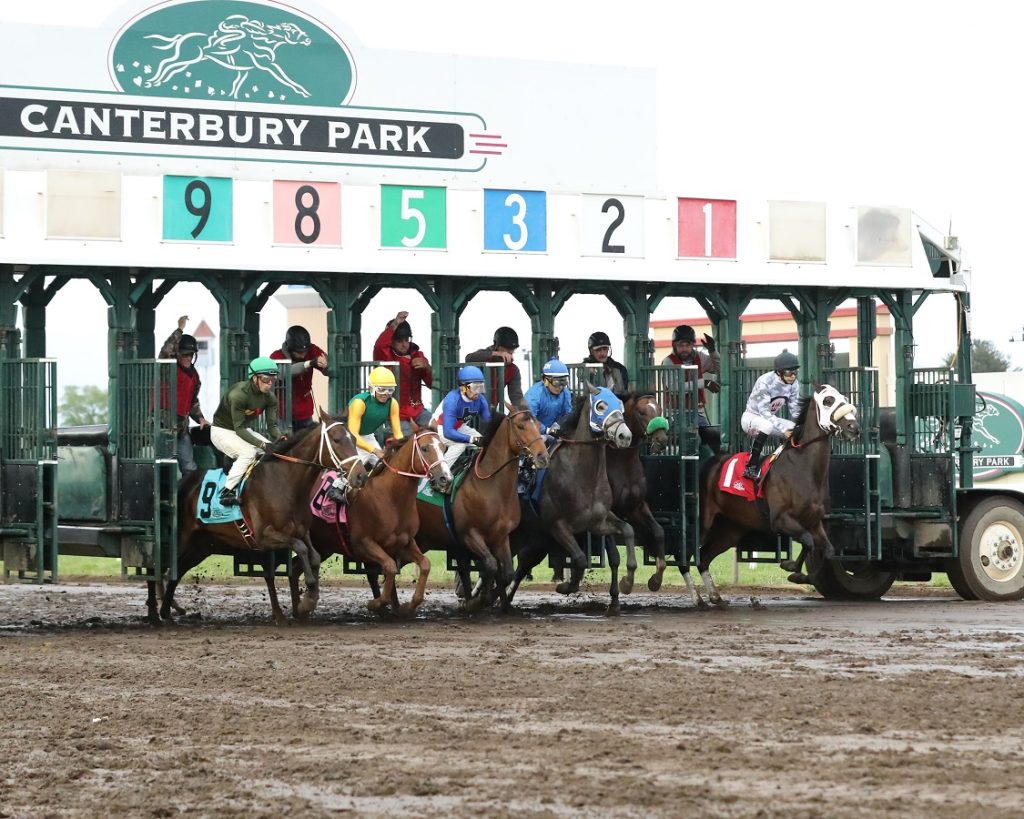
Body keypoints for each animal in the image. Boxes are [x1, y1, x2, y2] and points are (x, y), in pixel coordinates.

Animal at [144, 409, 366, 626]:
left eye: (354, 439)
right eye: (336, 439)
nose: (361, 476)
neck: (285, 481)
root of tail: (182, 483)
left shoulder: (302, 532)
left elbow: (314, 556)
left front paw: (307, 601)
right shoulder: (264, 536)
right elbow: (301, 549)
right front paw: (307, 600)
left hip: (201, 545)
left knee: (177, 570)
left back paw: (167, 611)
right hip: (181, 537)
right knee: (159, 568)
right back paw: (155, 613)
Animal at [301, 427, 450, 614]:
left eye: (444, 448)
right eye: (424, 448)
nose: (445, 478)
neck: (391, 497)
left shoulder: (405, 542)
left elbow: (425, 564)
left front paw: (407, 605)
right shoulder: (363, 543)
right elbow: (390, 568)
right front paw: (376, 603)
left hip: (323, 544)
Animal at [419, 409, 552, 606]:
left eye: (538, 424)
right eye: (520, 426)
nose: (543, 457)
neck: (490, 485)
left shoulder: (501, 536)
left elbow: (506, 573)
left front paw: (486, 599)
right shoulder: (469, 534)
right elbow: (490, 565)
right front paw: (481, 600)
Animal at [507, 386, 634, 610]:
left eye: (620, 405)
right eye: (601, 406)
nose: (624, 436)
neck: (582, 473)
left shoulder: (597, 522)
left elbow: (626, 532)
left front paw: (626, 583)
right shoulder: (557, 525)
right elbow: (581, 559)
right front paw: (565, 586)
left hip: (533, 536)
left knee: (522, 563)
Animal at [688, 384, 864, 606]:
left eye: (845, 398)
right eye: (828, 401)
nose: (853, 427)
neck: (803, 469)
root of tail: (708, 463)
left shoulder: (814, 521)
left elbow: (825, 549)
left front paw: (801, 575)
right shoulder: (780, 519)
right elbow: (807, 540)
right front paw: (791, 568)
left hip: (729, 528)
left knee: (703, 558)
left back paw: (715, 596)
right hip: (703, 522)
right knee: (685, 556)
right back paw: (696, 598)